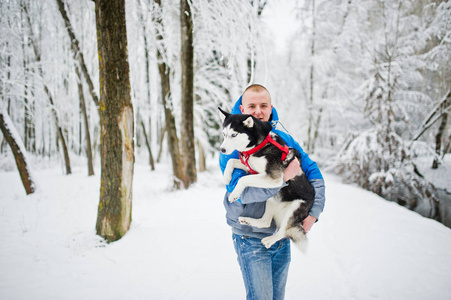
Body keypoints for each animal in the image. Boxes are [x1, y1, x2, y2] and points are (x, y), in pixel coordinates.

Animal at [219, 107, 314, 248]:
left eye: (234, 135)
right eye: (224, 134)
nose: (222, 150)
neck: (258, 145)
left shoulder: (274, 178)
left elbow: (243, 179)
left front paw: (234, 194)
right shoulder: (251, 168)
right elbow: (231, 161)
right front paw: (226, 177)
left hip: (294, 208)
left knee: (284, 231)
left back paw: (269, 240)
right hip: (271, 199)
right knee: (266, 222)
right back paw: (247, 220)